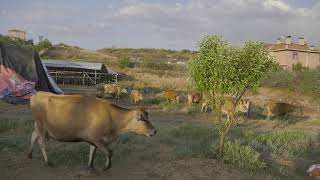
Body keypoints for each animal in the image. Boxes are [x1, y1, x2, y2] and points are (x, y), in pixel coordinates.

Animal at [27, 92, 156, 171]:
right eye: (143, 120)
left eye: (148, 118)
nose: (154, 131)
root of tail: (38, 94)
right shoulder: (96, 138)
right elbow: (110, 152)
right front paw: (106, 167)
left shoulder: (93, 139)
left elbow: (92, 152)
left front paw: (91, 167)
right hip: (41, 126)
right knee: (41, 142)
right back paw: (48, 162)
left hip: (38, 126)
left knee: (33, 135)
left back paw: (29, 154)